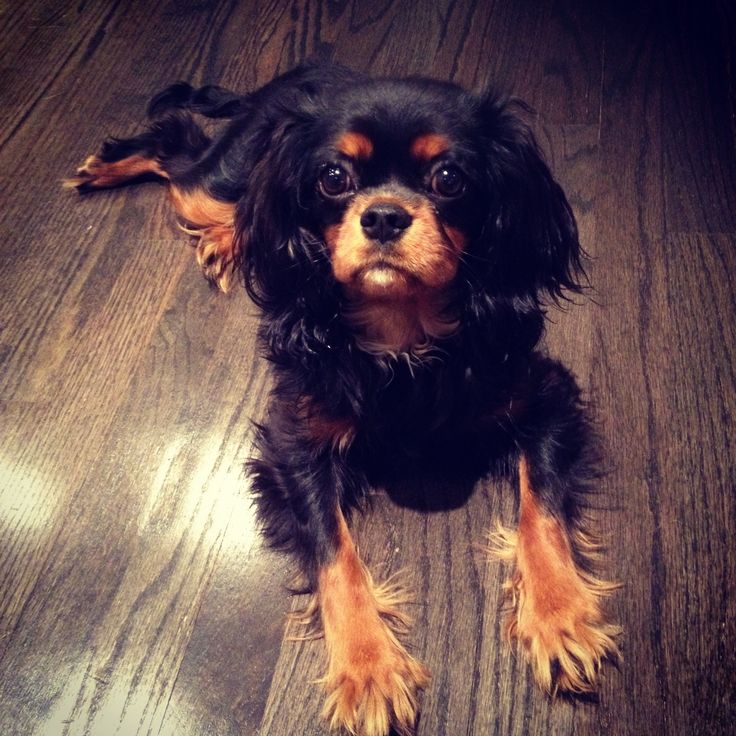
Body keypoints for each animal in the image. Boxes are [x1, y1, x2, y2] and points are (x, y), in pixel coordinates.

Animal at [67, 61, 620, 736]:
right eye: (334, 178)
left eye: (449, 178)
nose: (382, 216)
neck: (401, 329)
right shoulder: (293, 444)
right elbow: (337, 555)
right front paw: (369, 668)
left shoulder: (546, 399)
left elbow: (541, 509)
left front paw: (559, 617)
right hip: (230, 176)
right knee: (179, 151)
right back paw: (114, 171)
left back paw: (221, 237)